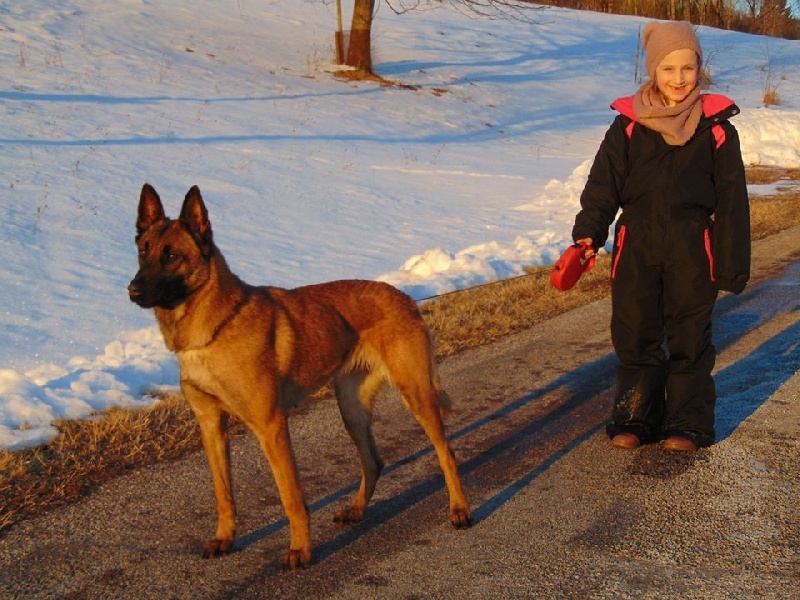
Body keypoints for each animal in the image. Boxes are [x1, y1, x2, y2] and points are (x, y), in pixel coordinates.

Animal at [128, 185, 472, 568]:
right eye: (143, 252)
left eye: (172, 255)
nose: (133, 290)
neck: (214, 329)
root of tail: (405, 297)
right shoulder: (211, 426)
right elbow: (223, 494)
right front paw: (225, 538)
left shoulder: (271, 426)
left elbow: (290, 495)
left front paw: (300, 549)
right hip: (351, 408)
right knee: (373, 461)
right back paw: (356, 510)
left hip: (415, 395)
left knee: (446, 453)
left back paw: (460, 510)